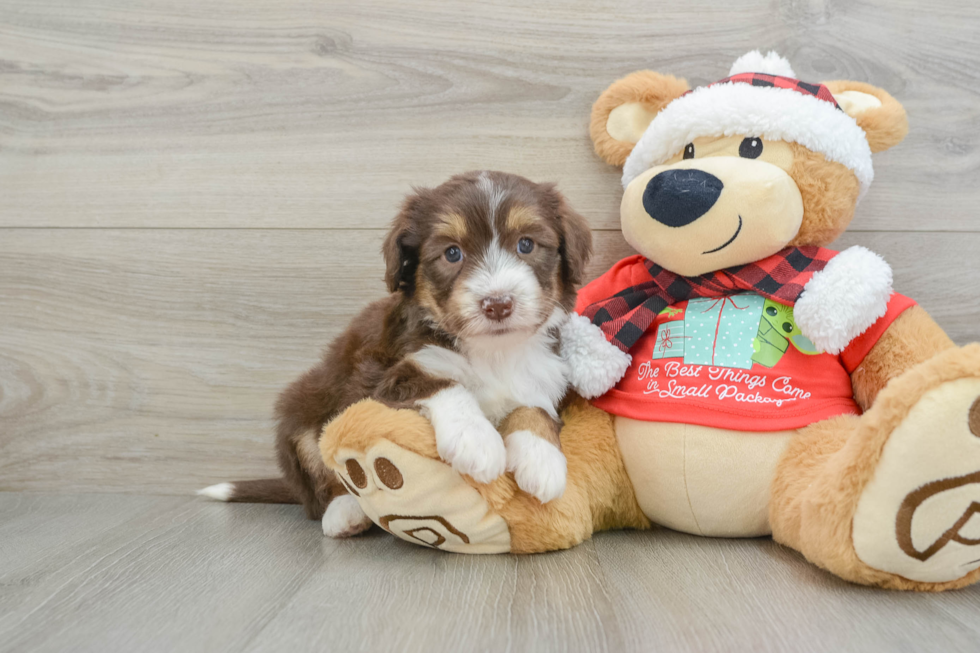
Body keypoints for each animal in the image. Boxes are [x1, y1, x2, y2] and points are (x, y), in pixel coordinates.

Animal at [201, 171, 588, 536]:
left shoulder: (543, 375)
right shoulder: (383, 376)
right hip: (302, 411)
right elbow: (442, 381)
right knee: (325, 481)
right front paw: (476, 441)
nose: (497, 304)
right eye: (452, 253)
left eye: (526, 244)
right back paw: (346, 512)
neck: (493, 352)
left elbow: (534, 409)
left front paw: (542, 459)